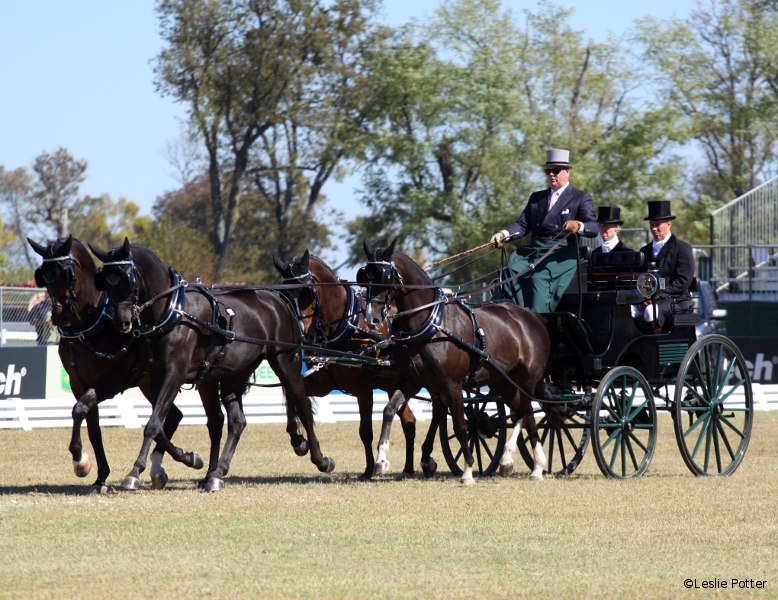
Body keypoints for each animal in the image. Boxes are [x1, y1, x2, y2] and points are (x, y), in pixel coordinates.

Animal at [28, 234, 202, 492]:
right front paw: (99, 475)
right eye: (44, 275)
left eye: (67, 273)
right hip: (149, 383)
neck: (92, 324)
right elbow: (92, 427)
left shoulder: (110, 382)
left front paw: (80, 462)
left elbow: (80, 408)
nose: (60, 317)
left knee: (166, 419)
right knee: (172, 417)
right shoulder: (79, 383)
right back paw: (166, 466)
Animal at [90, 237, 334, 490]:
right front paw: (190, 458)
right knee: (237, 421)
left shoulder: (174, 374)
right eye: (105, 282)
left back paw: (320, 459)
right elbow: (160, 425)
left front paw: (135, 472)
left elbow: (154, 424)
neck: (174, 312)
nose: (122, 321)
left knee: (302, 406)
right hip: (233, 375)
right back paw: (216, 473)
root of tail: (279, 301)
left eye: (128, 279)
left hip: (285, 363)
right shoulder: (157, 377)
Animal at [272, 251, 418, 480]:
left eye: (307, 293)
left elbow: (365, 431)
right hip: (393, 385)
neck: (345, 328)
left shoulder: (363, 390)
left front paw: (369, 469)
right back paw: (410, 469)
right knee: (409, 422)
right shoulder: (317, 385)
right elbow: (294, 404)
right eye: (283, 294)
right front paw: (299, 442)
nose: (301, 334)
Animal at [360, 238, 548, 482]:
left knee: (526, 411)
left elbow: (459, 426)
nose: (371, 318)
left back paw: (523, 462)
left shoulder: (452, 384)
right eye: (364, 275)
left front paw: (467, 471)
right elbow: (389, 410)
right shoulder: (412, 381)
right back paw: (526, 465)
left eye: (385, 276)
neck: (432, 324)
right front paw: (381, 460)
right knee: (525, 414)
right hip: (502, 382)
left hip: (526, 380)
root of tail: (532, 316)